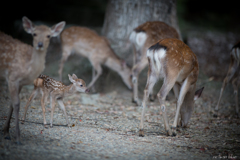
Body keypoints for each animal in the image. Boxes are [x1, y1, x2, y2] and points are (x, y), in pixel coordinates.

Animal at [0, 16, 65, 144]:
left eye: (48, 35)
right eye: (34, 34)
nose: (40, 44)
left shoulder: (19, 82)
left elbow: (12, 103)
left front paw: (7, 133)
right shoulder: (12, 77)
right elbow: (16, 103)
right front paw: (17, 137)